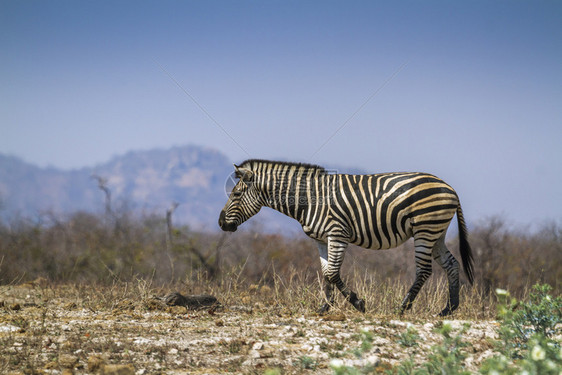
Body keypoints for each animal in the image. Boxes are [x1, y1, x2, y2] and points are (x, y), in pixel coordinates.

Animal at [217, 160, 470, 316]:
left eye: (236, 194)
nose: (220, 223)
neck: (309, 200)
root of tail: (450, 188)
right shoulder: (320, 239)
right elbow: (325, 273)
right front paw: (324, 308)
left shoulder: (337, 234)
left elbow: (332, 273)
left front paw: (358, 303)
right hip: (436, 232)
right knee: (451, 264)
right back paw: (448, 309)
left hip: (425, 229)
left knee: (424, 270)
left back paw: (402, 307)